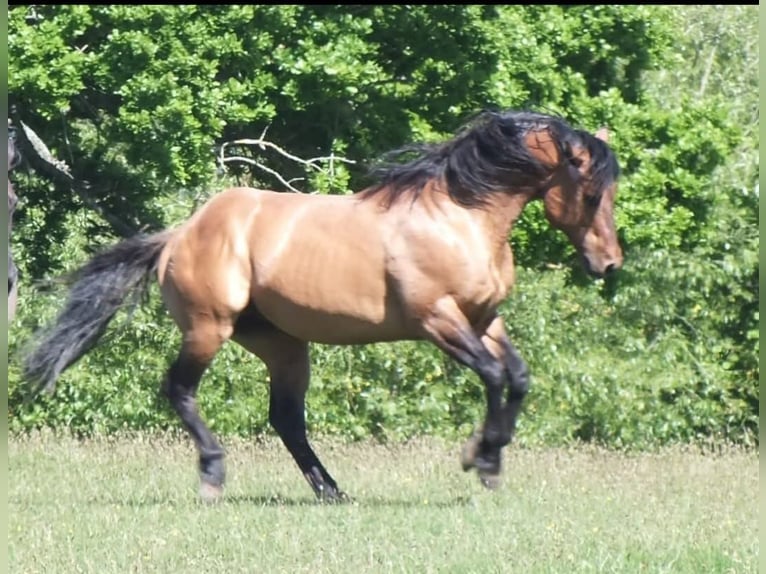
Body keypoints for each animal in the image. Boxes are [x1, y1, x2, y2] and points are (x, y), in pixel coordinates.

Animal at [22, 109, 623, 502]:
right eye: (592, 192)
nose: (609, 264)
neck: (459, 218)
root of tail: (179, 236)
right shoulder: (438, 319)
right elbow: (495, 377)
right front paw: (483, 460)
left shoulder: (482, 318)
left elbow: (517, 378)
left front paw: (485, 457)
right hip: (209, 328)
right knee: (180, 390)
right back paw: (214, 476)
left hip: (282, 345)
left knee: (286, 419)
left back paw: (332, 490)